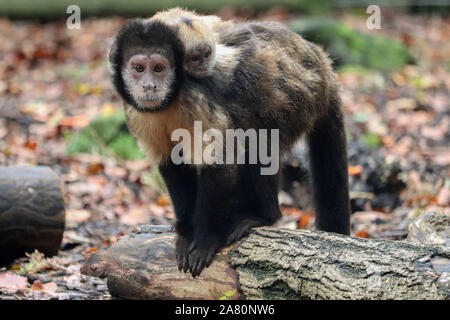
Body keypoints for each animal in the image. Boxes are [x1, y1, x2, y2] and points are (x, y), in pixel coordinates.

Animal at [109, 18, 352, 278]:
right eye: (138, 69)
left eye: (158, 68)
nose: (149, 86)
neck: (171, 100)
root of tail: (321, 64)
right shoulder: (136, 112)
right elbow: (172, 163)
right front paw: (186, 233)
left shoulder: (195, 99)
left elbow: (220, 162)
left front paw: (205, 240)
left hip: (298, 98)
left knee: (256, 146)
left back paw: (264, 217)